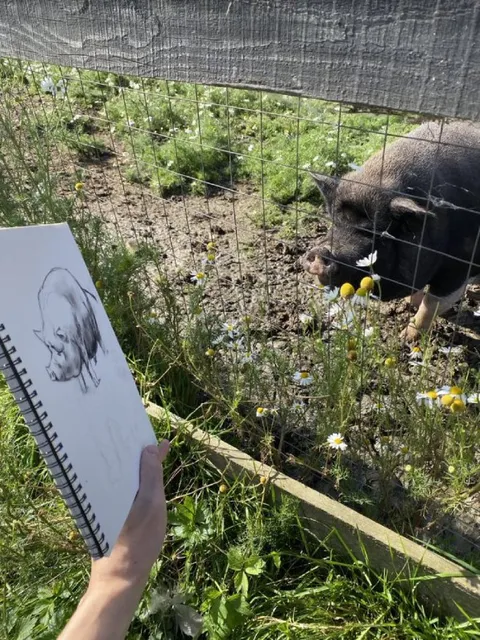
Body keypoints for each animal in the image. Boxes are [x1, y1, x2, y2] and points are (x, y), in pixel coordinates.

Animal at [301, 121, 480, 340]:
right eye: (335, 222)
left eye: (379, 235)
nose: (320, 252)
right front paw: (410, 304)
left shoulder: (458, 266)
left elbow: (431, 304)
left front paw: (406, 338)